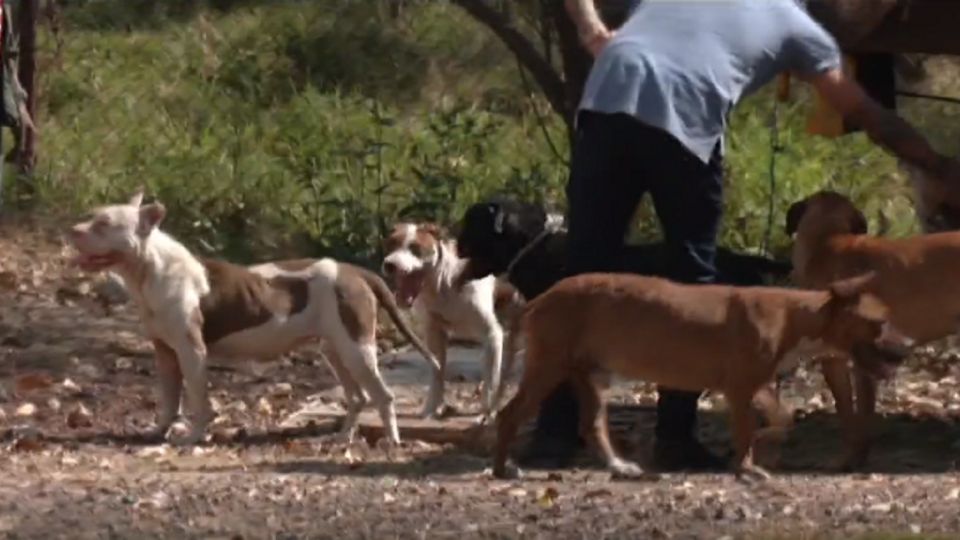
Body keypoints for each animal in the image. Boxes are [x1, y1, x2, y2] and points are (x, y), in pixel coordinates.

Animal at [65, 192, 440, 446]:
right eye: (91, 216)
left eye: (104, 224)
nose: (73, 230)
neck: (151, 271)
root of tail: (355, 271)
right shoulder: (165, 354)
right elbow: (170, 400)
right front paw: (158, 430)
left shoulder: (192, 353)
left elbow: (198, 400)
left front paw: (193, 436)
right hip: (335, 350)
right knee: (359, 397)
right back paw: (342, 437)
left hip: (356, 349)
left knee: (383, 396)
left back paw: (391, 441)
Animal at [380, 221, 524, 420]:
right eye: (390, 245)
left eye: (415, 249)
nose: (390, 264)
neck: (444, 284)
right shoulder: (435, 335)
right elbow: (437, 374)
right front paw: (431, 408)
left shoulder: (492, 334)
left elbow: (491, 381)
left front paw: (488, 413)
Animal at [492, 274, 912, 480]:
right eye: (879, 323)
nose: (908, 344)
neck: (797, 316)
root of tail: (541, 297)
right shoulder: (741, 388)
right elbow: (746, 431)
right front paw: (747, 467)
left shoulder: (756, 386)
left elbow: (782, 420)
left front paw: (762, 446)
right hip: (548, 367)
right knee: (508, 415)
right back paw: (503, 469)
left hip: (590, 376)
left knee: (591, 425)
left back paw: (620, 467)